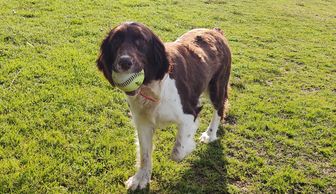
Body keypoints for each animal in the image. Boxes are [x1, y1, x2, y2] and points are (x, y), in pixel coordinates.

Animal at [96, 22, 230, 190]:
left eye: (141, 41)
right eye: (116, 41)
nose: (125, 62)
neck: (151, 88)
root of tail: (215, 31)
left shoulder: (189, 114)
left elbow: (177, 152)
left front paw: (189, 147)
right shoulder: (142, 122)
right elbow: (145, 154)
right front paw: (141, 178)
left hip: (216, 87)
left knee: (219, 108)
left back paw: (210, 134)